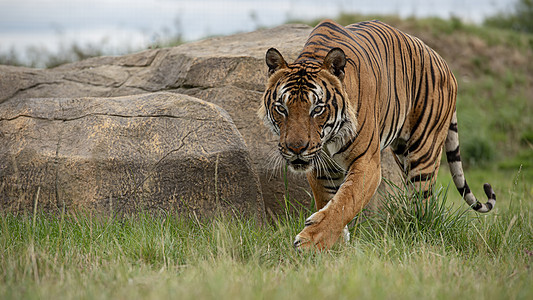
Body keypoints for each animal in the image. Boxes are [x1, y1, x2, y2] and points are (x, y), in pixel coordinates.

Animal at [256, 19, 494, 251]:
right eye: (281, 108)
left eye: (317, 109)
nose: (296, 149)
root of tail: (445, 63)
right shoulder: (321, 168)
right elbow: (329, 202)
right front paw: (336, 246)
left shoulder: (367, 163)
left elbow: (344, 202)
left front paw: (309, 242)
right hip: (401, 152)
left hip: (423, 153)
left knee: (424, 203)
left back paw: (418, 235)